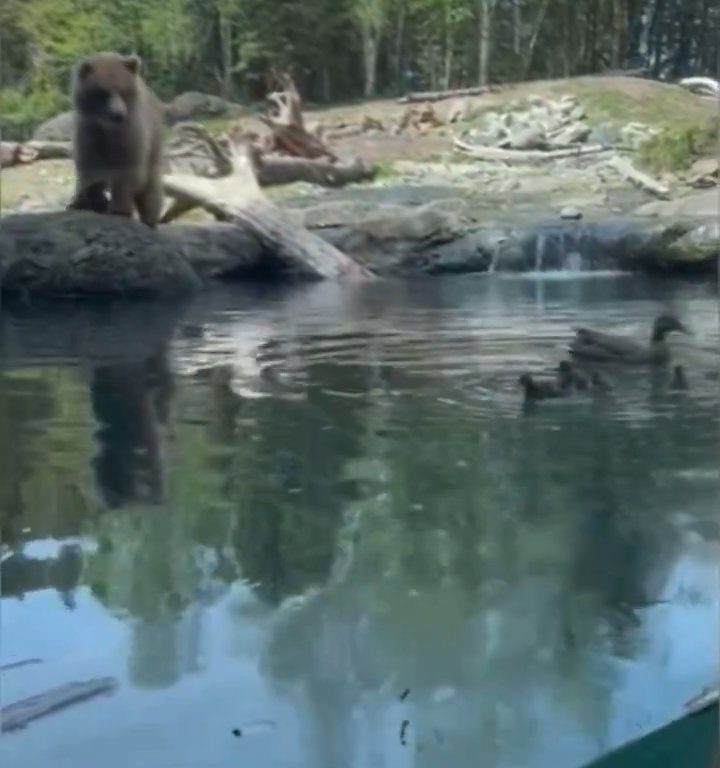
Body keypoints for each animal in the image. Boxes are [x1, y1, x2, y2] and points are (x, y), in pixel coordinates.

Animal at [67, 51, 164, 228]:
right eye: (102, 92)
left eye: (123, 91)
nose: (118, 114)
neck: (106, 128)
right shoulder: (88, 132)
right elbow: (89, 169)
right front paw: (89, 201)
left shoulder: (129, 134)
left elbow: (126, 171)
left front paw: (119, 209)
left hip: (154, 146)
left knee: (151, 189)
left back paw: (150, 220)